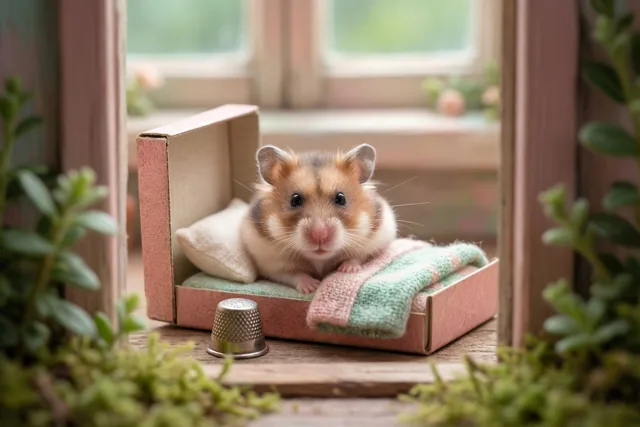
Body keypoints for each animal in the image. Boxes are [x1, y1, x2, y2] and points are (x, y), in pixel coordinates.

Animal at [240, 143, 397, 294]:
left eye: (341, 198)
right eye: (295, 200)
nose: (319, 235)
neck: (319, 259)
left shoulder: (371, 242)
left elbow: (356, 257)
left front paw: (346, 270)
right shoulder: (271, 265)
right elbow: (293, 275)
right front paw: (312, 287)